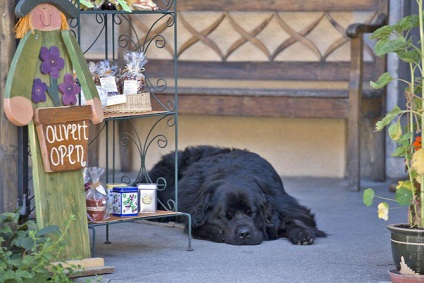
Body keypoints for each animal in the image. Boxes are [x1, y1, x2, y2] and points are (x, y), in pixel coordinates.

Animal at [149, 146, 324, 246]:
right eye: (227, 216)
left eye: (251, 213)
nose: (244, 233)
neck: (233, 173)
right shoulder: (192, 211)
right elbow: (197, 227)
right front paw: (216, 232)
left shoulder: (283, 203)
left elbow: (295, 219)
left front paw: (302, 234)